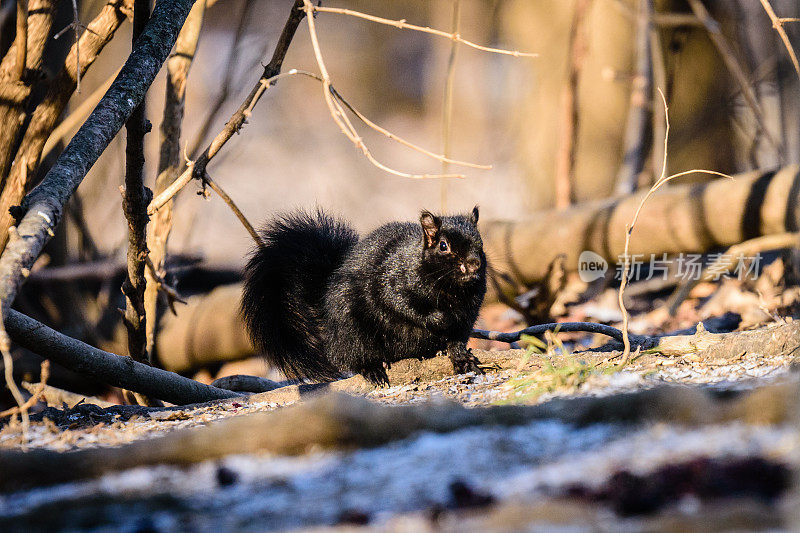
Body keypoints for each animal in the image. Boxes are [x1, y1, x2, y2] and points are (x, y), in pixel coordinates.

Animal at [239, 206, 488, 384]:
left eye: (481, 243)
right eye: (443, 246)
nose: (474, 264)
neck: (450, 289)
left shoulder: (470, 308)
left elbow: (458, 336)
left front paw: (461, 356)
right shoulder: (392, 282)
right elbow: (402, 305)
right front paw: (438, 319)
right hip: (353, 332)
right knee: (355, 356)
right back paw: (373, 368)